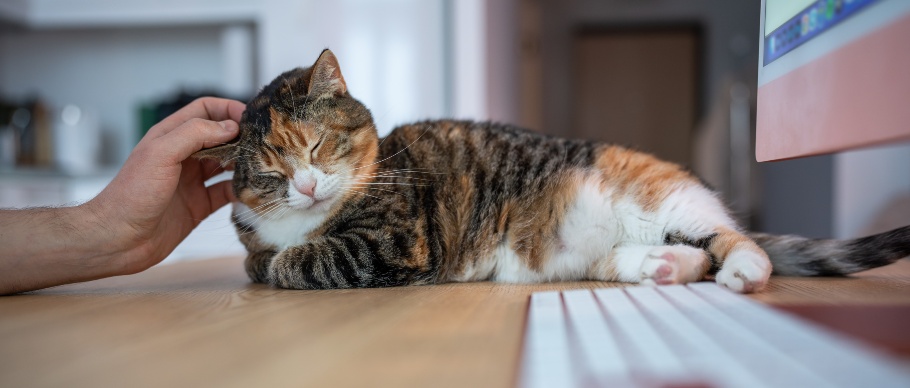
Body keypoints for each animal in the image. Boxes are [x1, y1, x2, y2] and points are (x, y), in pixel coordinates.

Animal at [194, 48, 910, 292]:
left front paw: (284, 260)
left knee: (731, 240)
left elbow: (299, 262)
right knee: (683, 256)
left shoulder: (391, 239)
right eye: (269, 174)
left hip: (659, 199)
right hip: (602, 251)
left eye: (317, 147)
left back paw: (744, 271)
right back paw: (667, 267)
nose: (307, 185)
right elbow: (260, 258)